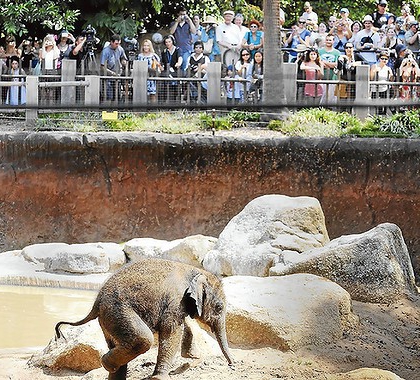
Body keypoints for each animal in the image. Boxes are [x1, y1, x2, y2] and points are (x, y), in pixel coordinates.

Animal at [54, 256, 235, 378]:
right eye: (219, 307)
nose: (232, 365)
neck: (196, 271)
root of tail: (96, 303)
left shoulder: (179, 304)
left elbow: (184, 327)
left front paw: (193, 357)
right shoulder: (175, 300)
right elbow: (171, 332)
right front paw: (160, 377)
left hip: (108, 319)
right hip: (119, 311)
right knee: (143, 339)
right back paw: (106, 363)